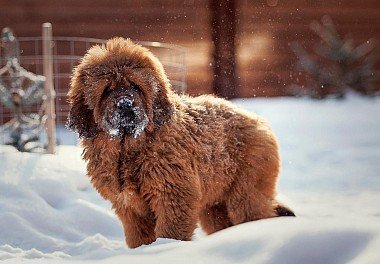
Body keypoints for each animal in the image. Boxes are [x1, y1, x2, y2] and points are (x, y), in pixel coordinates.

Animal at [67, 38, 294, 249]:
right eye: (107, 90)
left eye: (135, 86)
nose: (125, 104)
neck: (129, 149)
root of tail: (258, 120)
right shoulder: (129, 208)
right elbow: (138, 237)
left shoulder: (173, 196)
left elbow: (171, 231)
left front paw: (167, 248)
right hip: (215, 206)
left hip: (245, 194)